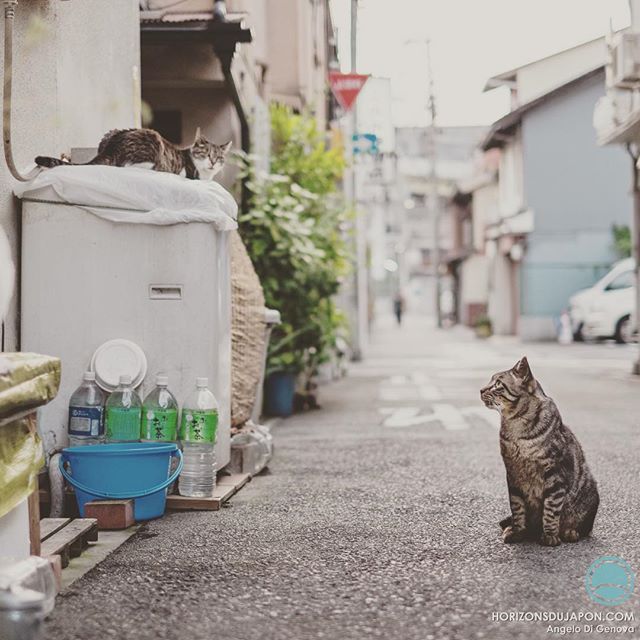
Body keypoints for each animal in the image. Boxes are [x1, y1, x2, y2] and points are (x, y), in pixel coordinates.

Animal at [482, 358, 596, 548]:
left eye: (497, 384)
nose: (481, 389)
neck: (516, 426)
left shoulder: (555, 474)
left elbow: (551, 508)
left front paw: (550, 535)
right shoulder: (512, 474)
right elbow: (517, 508)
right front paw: (517, 531)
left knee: (583, 527)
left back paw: (569, 531)